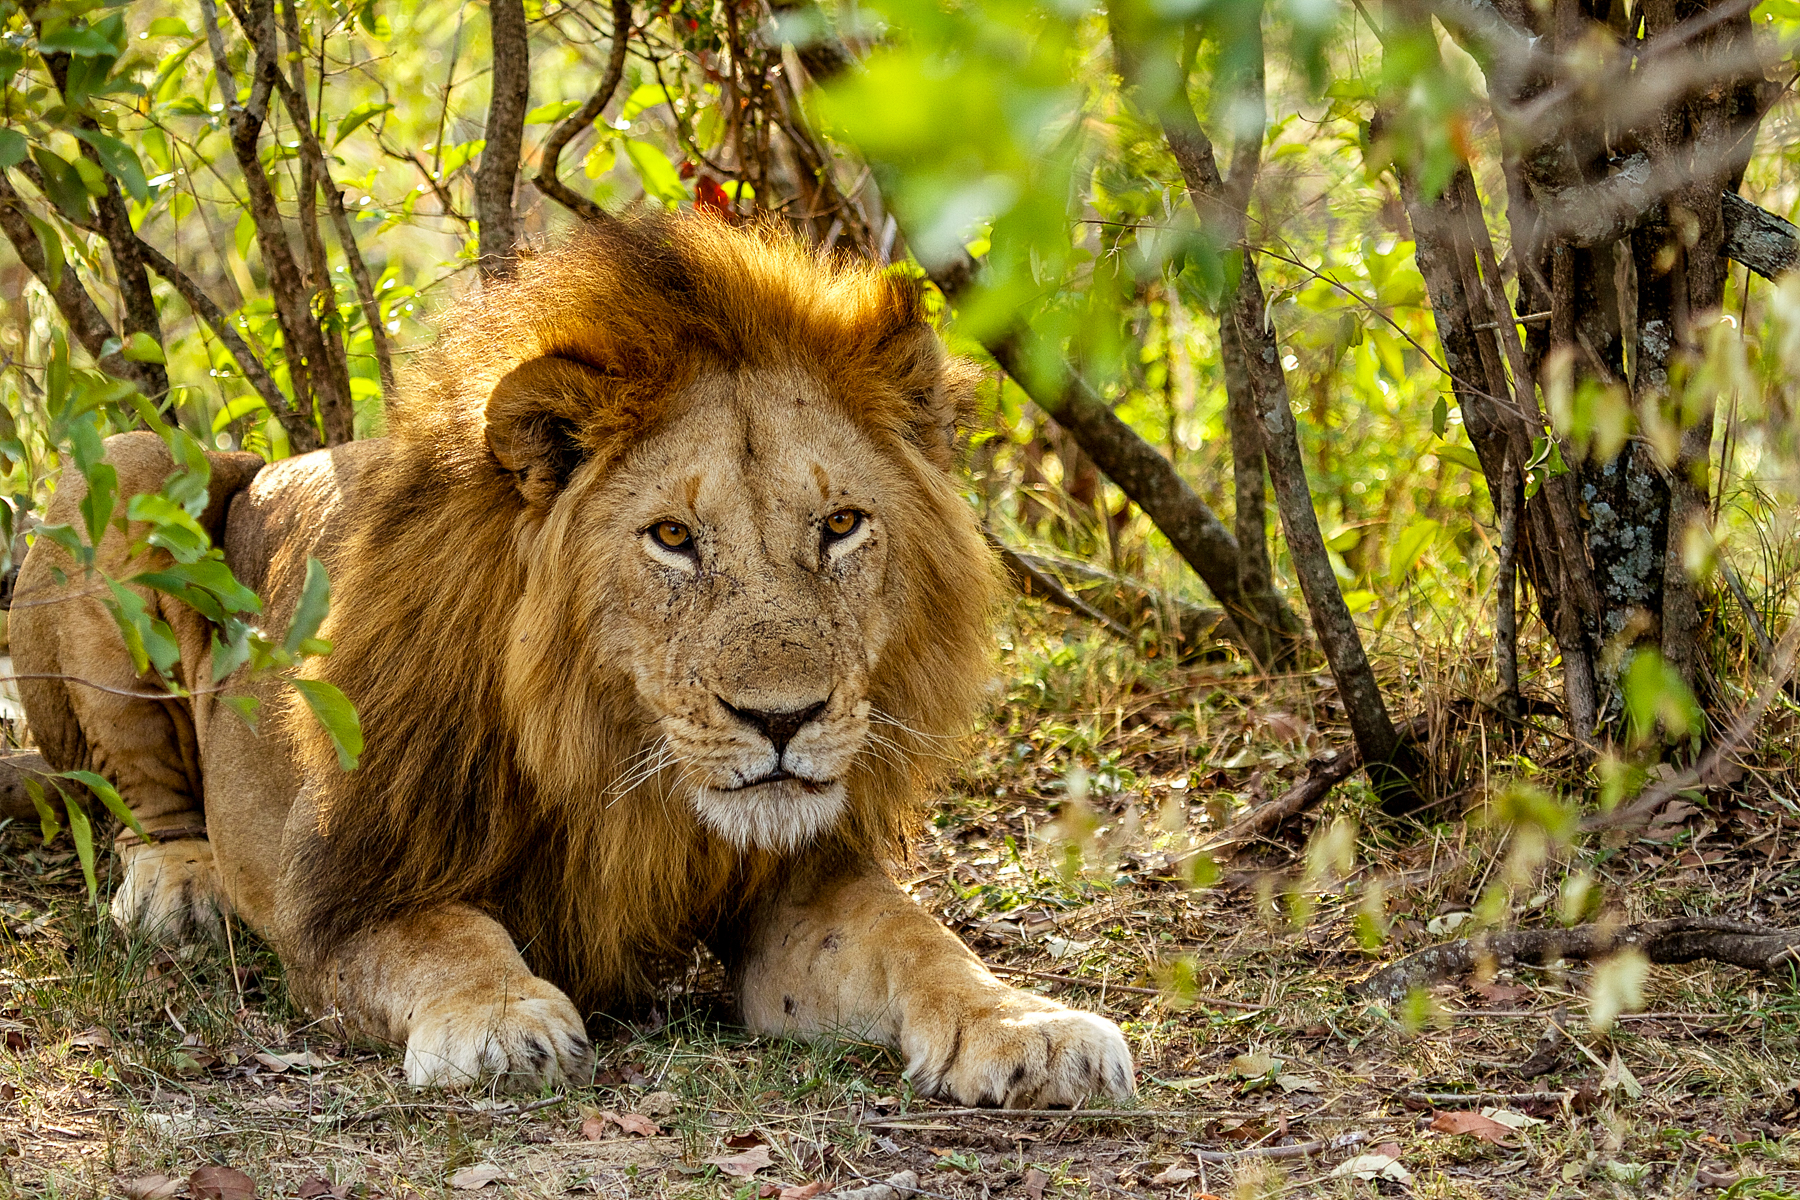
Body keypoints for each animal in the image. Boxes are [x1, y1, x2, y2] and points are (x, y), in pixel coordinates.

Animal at [11, 214, 1134, 1106]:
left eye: (842, 525)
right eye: (673, 538)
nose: (783, 720)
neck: (612, 758)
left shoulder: (795, 884)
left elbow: (921, 941)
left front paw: (1027, 1028)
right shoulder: (342, 896)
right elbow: (449, 937)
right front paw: (501, 1017)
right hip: (124, 469)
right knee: (137, 794)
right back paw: (180, 887)